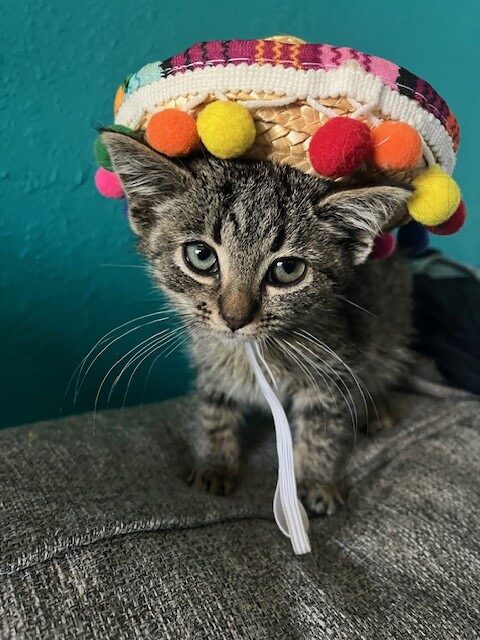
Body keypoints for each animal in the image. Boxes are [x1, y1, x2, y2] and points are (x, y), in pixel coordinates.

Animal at [103, 131, 414, 516]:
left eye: (288, 269)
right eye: (200, 256)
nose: (235, 318)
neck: (253, 350)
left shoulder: (335, 367)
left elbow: (322, 426)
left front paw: (318, 480)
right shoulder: (208, 359)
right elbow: (214, 409)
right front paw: (215, 463)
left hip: (393, 318)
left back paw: (375, 407)